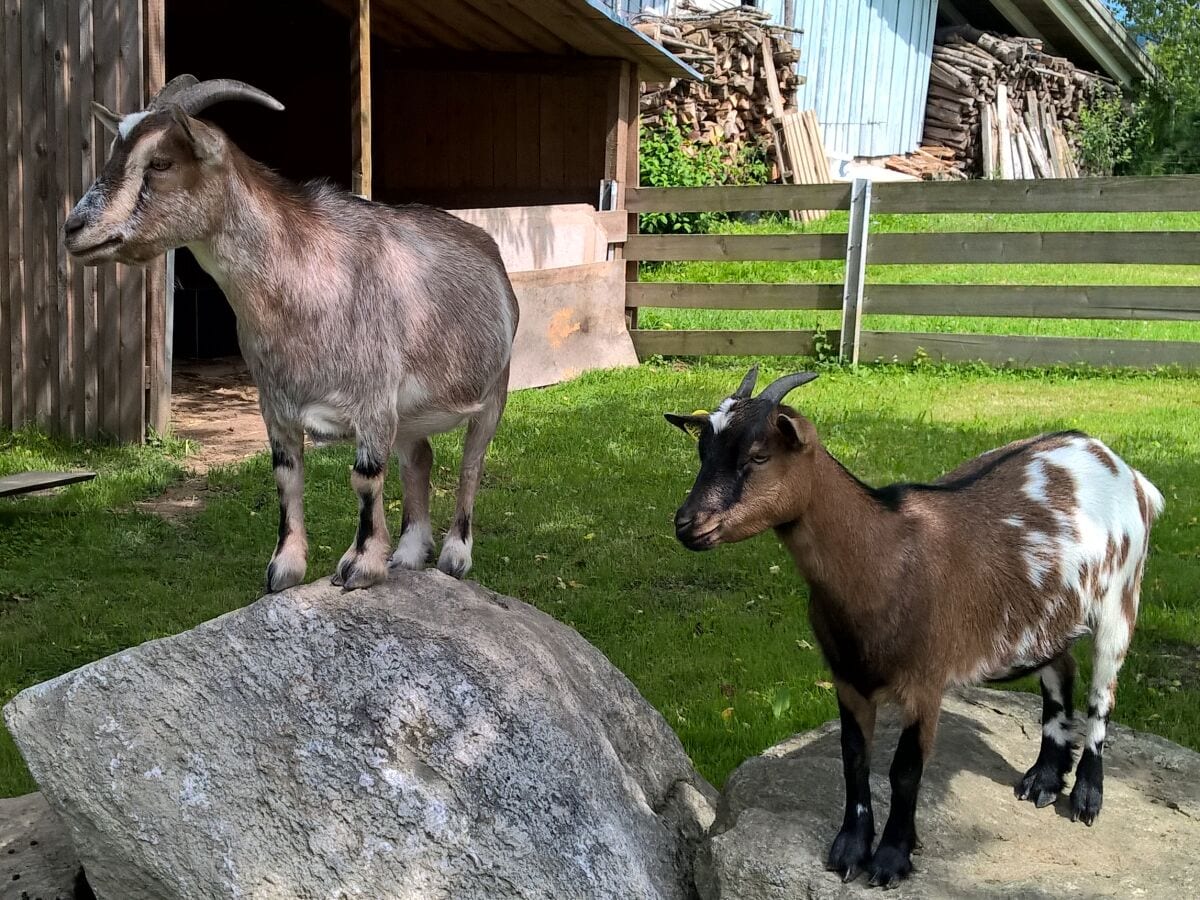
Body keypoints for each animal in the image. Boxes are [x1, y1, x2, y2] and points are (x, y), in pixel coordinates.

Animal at [65, 75, 516, 592]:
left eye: (160, 162)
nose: (74, 228)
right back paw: (406, 554)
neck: (307, 282)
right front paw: (285, 568)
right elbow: (287, 478)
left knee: (471, 463)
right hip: (411, 415)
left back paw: (454, 556)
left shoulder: (373, 403)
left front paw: (360, 565)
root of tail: (489, 250)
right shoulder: (276, 406)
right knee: (418, 458)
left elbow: (365, 479)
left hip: (494, 389)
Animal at [667, 369, 1161, 892]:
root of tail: (1118, 464)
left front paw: (890, 858)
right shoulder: (847, 676)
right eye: (703, 452)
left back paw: (1086, 795)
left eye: (759, 455)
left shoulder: (925, 680)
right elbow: (854, 758)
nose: (687, 524)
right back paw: (1044, 779)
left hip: (1122, 594)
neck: (887, 557)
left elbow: (905, 770)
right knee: (1060, 670)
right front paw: (849, 849)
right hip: (1045, 614)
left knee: (1102, 693)